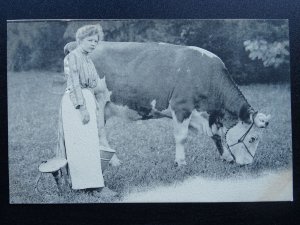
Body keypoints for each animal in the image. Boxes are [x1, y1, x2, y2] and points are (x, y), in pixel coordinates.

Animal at [90, 41, 270, 166]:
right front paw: (181, 162)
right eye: (253, 138)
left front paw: (226, 156)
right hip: (97, 103)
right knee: (100, 134)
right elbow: (182, 137)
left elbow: (217, 135)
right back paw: (114, 161)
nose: (248, 164)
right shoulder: (181, 107)